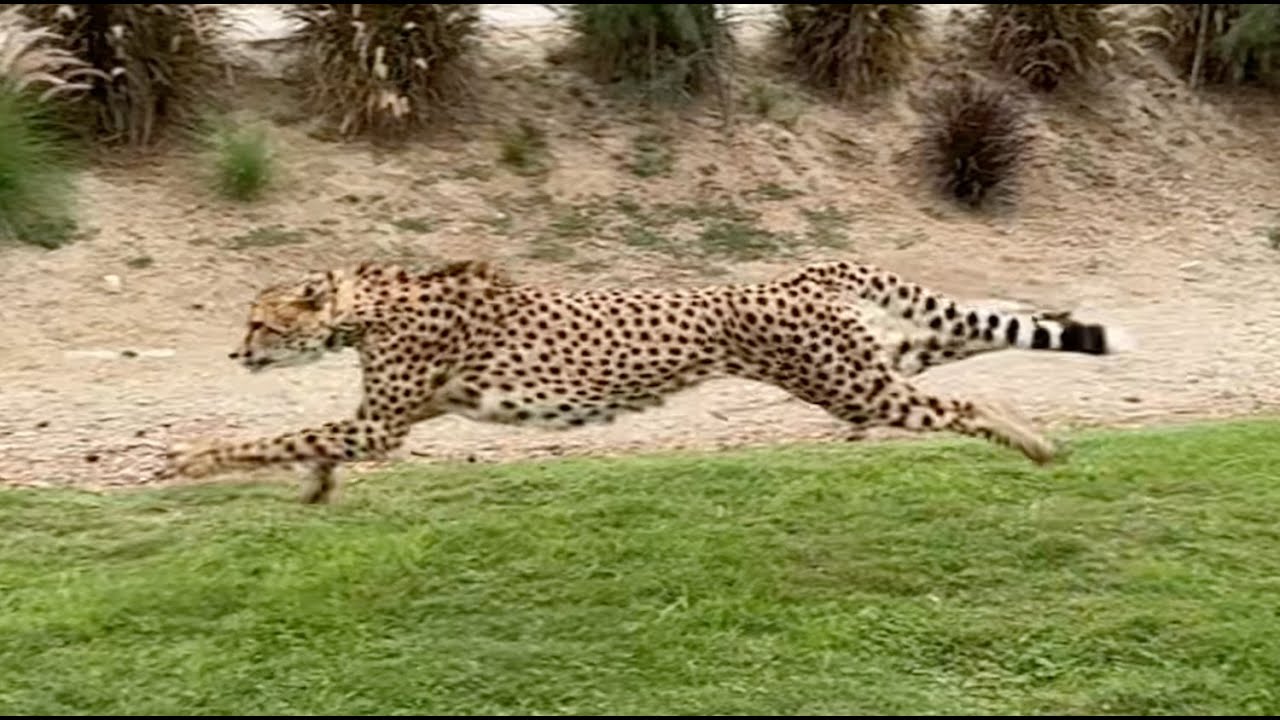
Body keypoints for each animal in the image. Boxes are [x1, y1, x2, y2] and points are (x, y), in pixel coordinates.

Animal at [162, 258, 1135, 503]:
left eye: (259, 323)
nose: (239, 355)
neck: (365, 305)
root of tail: (804, 271)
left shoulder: (382, 423)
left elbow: (269, 438)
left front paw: (192, 460)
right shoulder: (390, 420)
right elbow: (309, 442)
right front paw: (316, 486)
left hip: (852, 384)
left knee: (961, 400)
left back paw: (1033, 442)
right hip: (855, 367)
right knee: (949, 341)